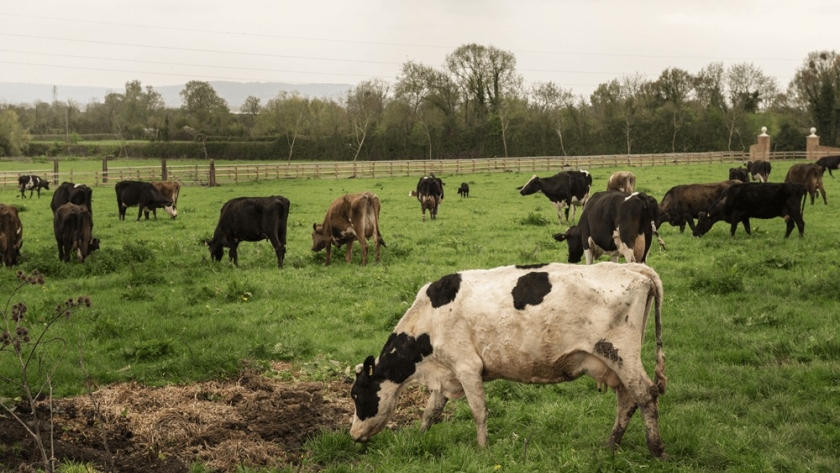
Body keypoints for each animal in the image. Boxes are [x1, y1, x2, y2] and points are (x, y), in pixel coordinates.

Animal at [352, 262, 668, 458]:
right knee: (627, 400)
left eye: (357, 395)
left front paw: (482, 449)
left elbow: (479, 411)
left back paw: (656, 449)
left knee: (645, 395)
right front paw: (419, 437)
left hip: (620, 354)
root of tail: (632, 268)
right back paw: (611, 445)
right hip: (616, 363)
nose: (353, 434)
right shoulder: (447, 373)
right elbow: (431, 411)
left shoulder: (466, 366)